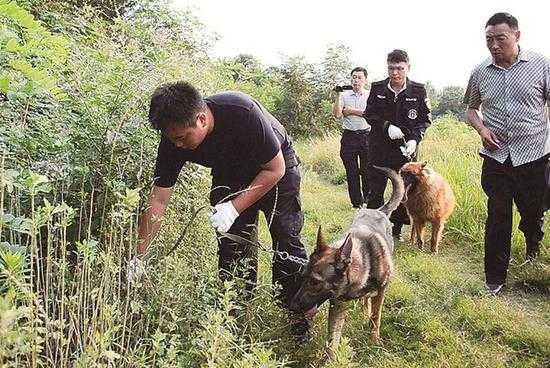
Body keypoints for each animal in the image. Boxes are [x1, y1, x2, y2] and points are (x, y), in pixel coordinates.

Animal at [288, 167, 406, 356]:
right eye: (303, 277)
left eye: (314, 282)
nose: (291, 306)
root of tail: (378, 210)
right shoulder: (338, 305)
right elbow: (332, 339)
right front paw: (329, 359)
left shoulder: (381, 291)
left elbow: (376, 318)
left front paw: (374, 340)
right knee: (365, 301)